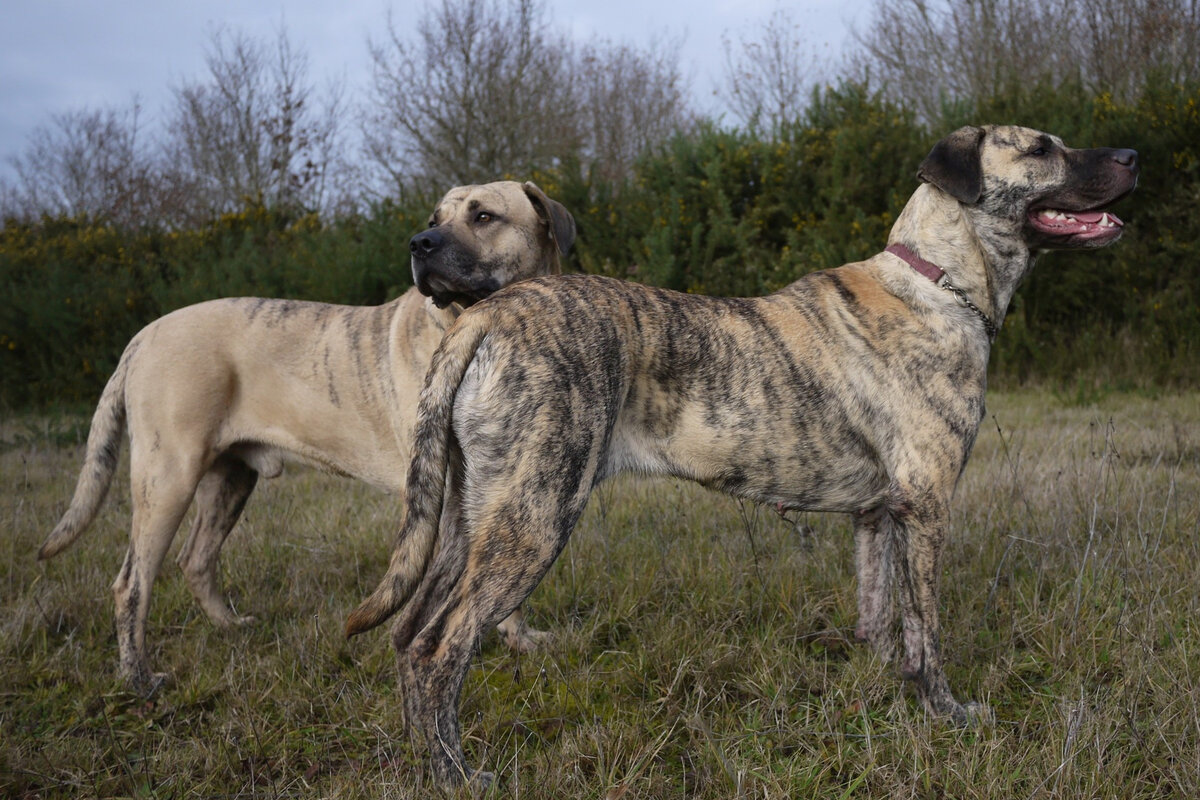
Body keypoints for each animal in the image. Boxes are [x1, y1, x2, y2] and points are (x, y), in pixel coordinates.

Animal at [39, 181, 573, 695]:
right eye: (433, 219)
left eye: (484, 216)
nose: (419, 243)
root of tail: (143, 336)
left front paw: (520, 640)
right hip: (168, 477)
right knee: (132, 583)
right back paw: (138, 679)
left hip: (229, 479)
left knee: (197, 559)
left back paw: (230, 627)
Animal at [350, 128, 1142, 786]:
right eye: (1041, 148)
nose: (1134, 156)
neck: (938, 281)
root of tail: (487, 314)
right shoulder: (927, 506)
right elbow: (926, 629)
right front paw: (946, 713)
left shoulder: (879, 514)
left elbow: (880, 613)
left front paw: (880, 689)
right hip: (533, 513)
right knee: (442, 647)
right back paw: (457, 776)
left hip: (470, 516)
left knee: (410, 634)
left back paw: (425, 762)